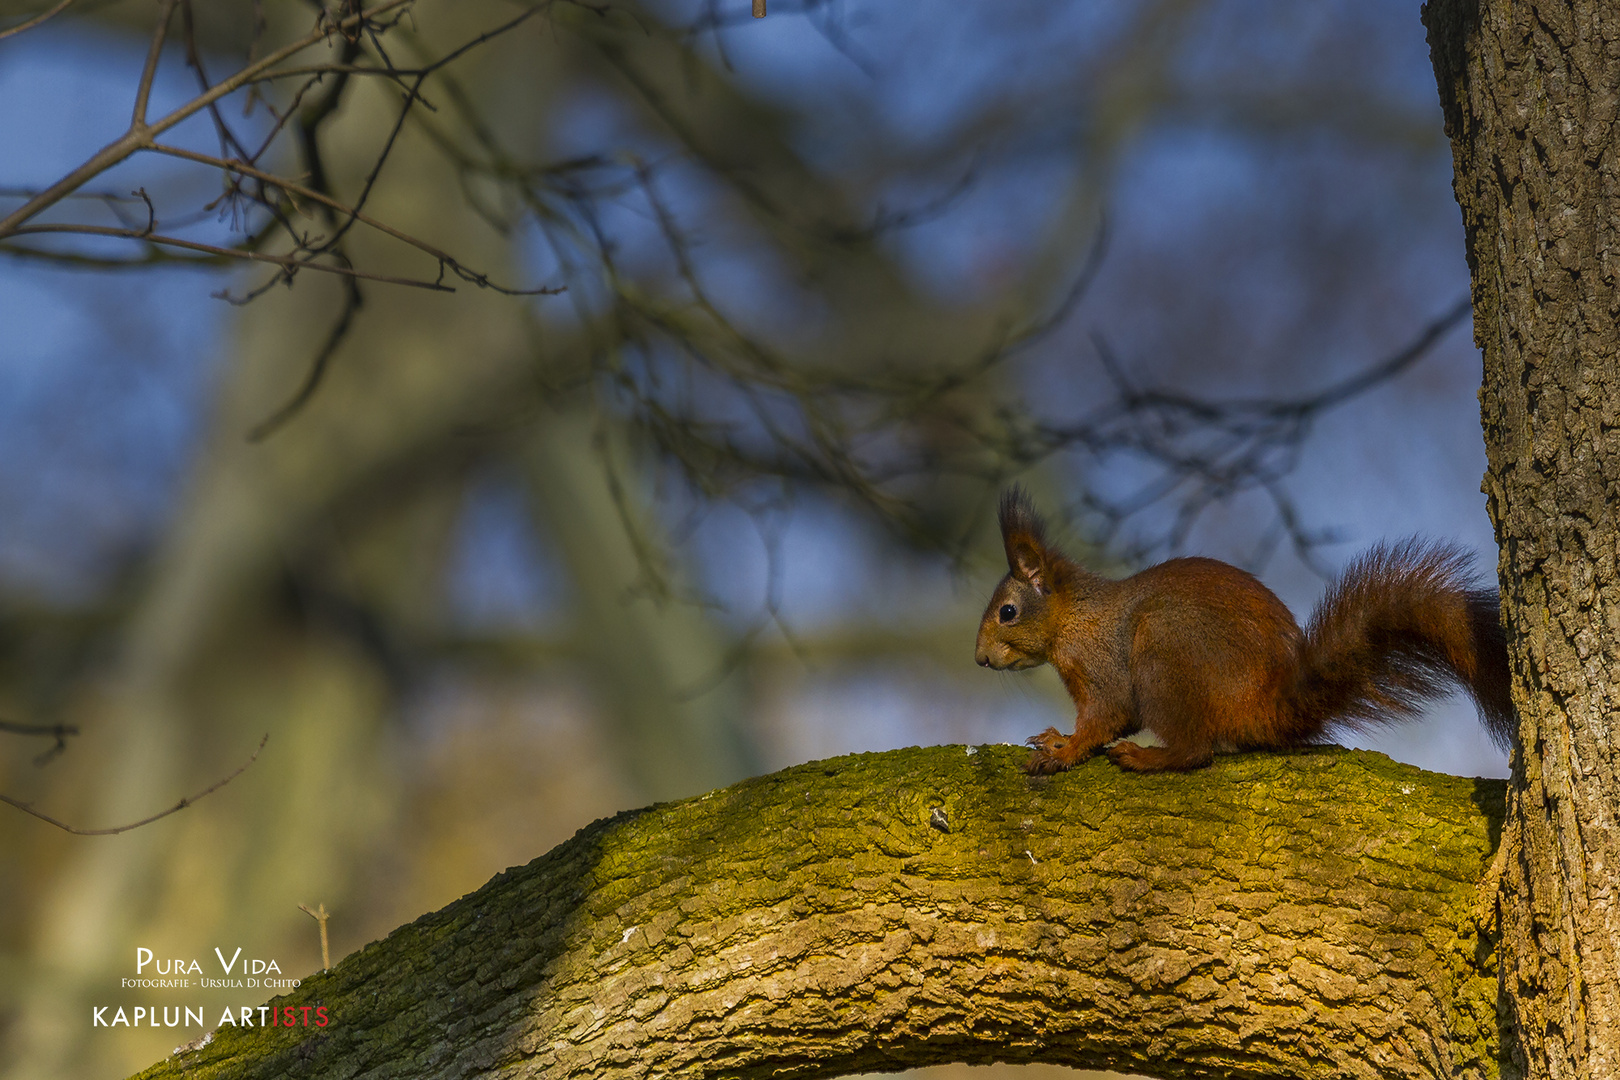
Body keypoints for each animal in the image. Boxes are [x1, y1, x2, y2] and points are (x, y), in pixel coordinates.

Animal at [972, 485, 1516, 773]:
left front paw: (1064, 750)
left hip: (1164, 653)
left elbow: (1108, 716)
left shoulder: (1102, 664)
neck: (1074, 617)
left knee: (1196, 751)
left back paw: (1148, 758)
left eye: (1007, 612)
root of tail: (1265, 704)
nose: (980, 659)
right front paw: (1056, 737)